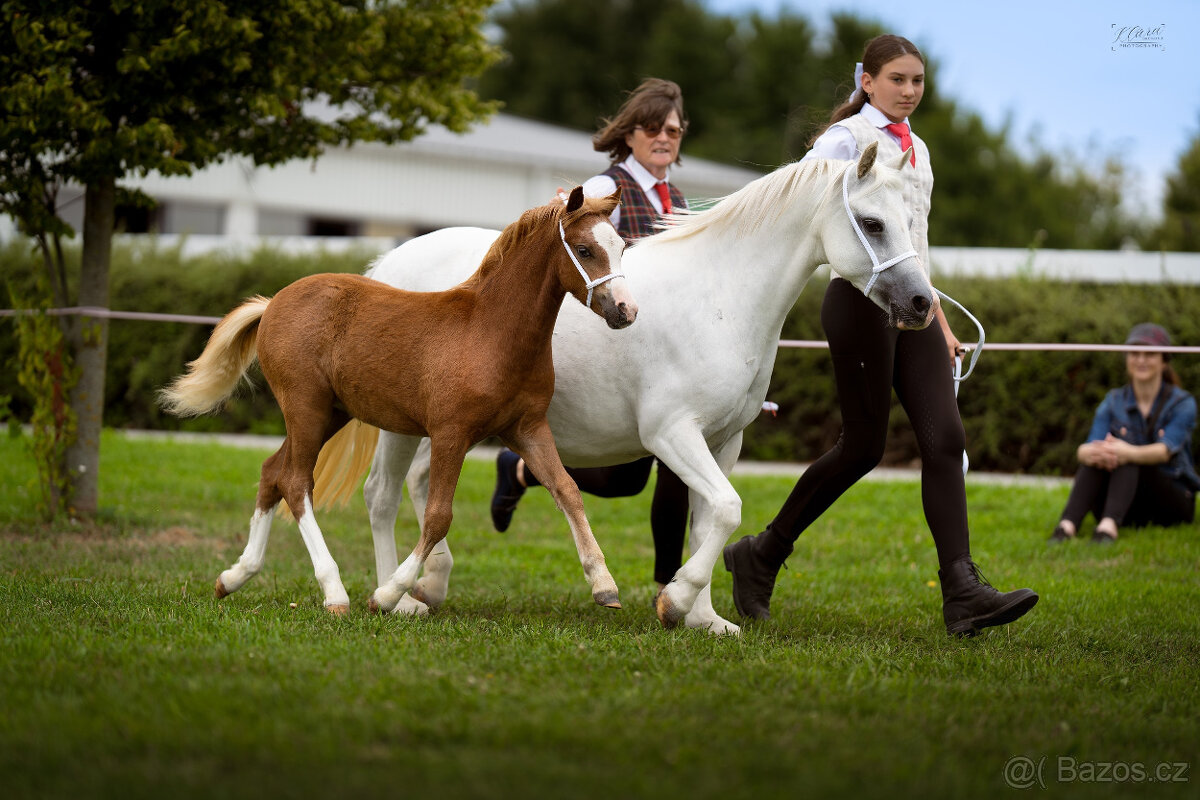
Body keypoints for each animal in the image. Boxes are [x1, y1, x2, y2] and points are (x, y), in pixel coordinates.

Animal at [159, 187, 636, 615]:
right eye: (584, 249)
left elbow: (568, 491)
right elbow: (439, 515)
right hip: (305, 406)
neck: (490, 333)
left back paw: (234, 576)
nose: (626, 311)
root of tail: (273, 303)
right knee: (295, 481)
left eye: (622, 247)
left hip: (331, 413)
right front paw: (388, 594)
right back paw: (335, 593)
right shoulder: (450, 434)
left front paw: (604, 586)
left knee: (272, 472)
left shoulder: (527, 428)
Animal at [314, 142, 935, 633]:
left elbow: (708, 519)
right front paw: (676, 601)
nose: (921, 304)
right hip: (402, 425)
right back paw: (392, 597)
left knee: (420, 485)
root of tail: (385, 266)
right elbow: (727, 508)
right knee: (383, 495)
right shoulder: (672, 435)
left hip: (442, 427)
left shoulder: (723, 441)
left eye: (911, 220)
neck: (718, 298)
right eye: (873, 223)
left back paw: (430, 583)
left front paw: (705, 619)